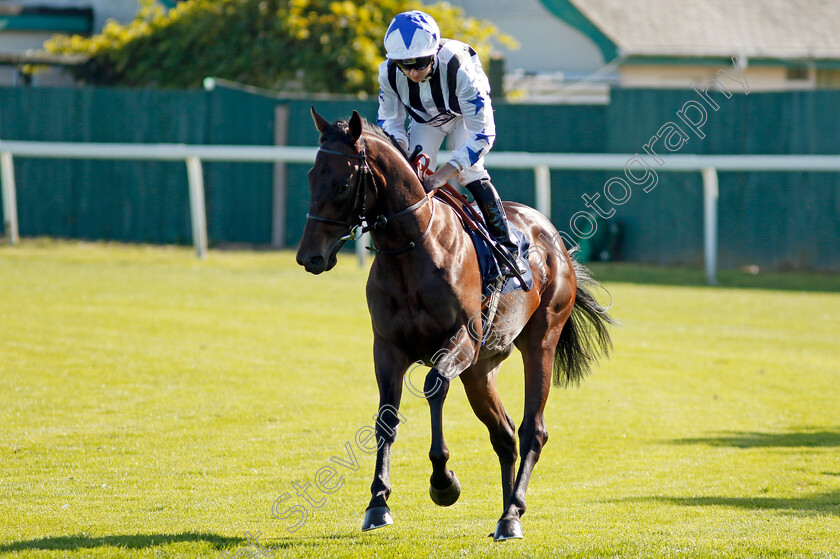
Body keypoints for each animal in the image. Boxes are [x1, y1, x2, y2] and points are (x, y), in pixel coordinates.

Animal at [298, 107, 612, 540]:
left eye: (343, 183)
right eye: (312, 176)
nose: (308, 256)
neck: (413, 250)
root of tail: (554, 240)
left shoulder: (460, 339)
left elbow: (434, 386)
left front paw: (443, 481)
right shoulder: (387, 347)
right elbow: (386, 418)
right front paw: (378, 503)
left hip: (540, 340)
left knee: (532, 429)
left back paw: (512, 513)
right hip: (481, 369)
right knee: (504, 434)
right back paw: (505, 512)